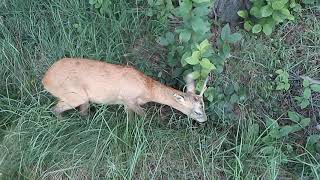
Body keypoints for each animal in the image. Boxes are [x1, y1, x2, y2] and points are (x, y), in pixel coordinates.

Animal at [41, 57, 209, 122]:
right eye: (197, 111)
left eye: (204, 106)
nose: (204, 119)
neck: (147, 89)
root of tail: (45, 80)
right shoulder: (128, 98)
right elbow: (143, 115)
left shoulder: (126, 103)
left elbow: (131, 117)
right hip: (75, 95)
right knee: (55, 109)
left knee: (81, 111)